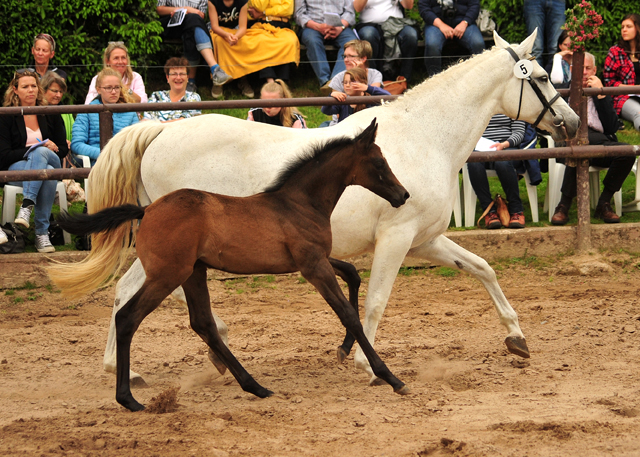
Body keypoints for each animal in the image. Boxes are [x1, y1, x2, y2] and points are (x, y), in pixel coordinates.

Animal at [52, 31, 580, 384]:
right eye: (539, 75)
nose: (571, 122)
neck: (423, 136)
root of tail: (159, 131)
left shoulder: (425, 240)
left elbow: (483, 268)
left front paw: (517, 338)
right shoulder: (397, 238)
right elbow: (375, 301)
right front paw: (369, 363)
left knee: (126, 290)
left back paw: (128, 369)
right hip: (178, 247)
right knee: (147, 292)